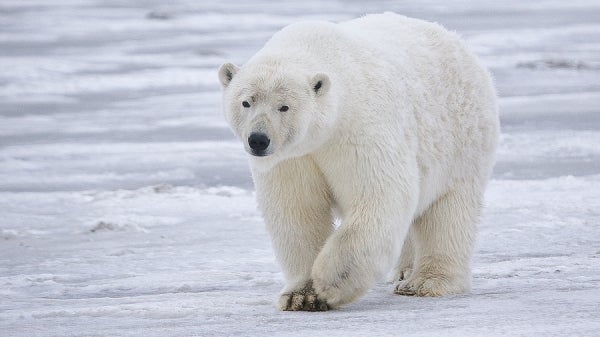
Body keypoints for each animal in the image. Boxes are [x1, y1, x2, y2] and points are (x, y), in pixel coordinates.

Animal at [218, 13, 500, 312]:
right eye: (246, 102)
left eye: (284, 106)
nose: (258, 140)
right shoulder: (293, 158)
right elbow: (297, 211)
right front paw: (301, 296)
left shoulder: (359, 127)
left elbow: (379, 195)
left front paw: (330, 282)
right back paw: (403, 271)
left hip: (461, 141)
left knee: (448, 213)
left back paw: (425, 282)